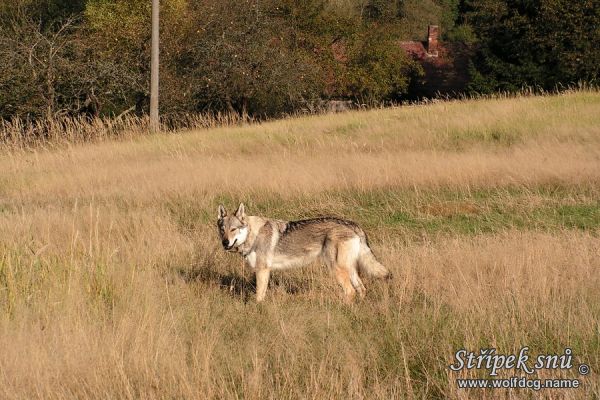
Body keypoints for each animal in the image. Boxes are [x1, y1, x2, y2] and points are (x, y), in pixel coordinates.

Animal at [216, 203, 390, 300]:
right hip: (350, 269)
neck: (254, 233)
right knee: (361, 289)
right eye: (222, 229)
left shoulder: (263, 270)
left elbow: (259, 297)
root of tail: (354, 224)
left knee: (350, 291)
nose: (225, 243)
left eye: (233, 229)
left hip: (336, 269)